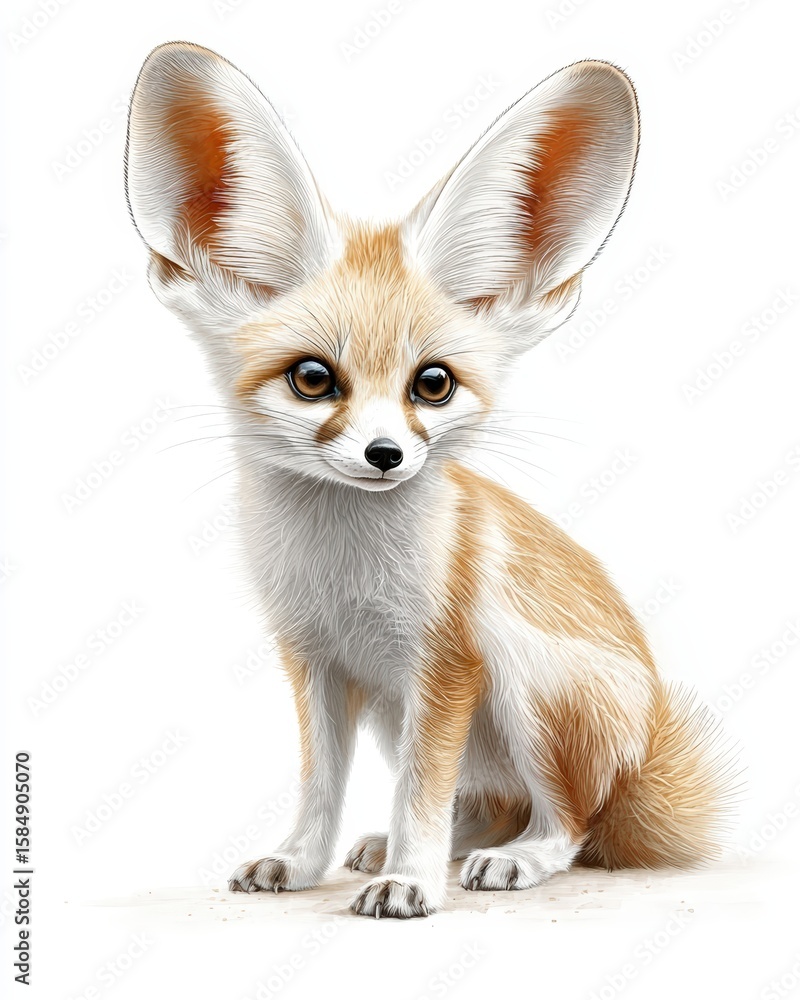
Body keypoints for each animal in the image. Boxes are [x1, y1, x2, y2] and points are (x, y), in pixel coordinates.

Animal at [125, 42, 734, 918]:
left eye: (433, 385)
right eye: (313, 379)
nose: (386, 456)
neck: (343, 569)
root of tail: (643, 764)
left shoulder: (445, 665)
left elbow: (422, 791)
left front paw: (411, 882)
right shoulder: (316, 659)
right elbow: (323, 787)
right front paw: (301, 862)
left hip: (523, 679)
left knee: (569, 823)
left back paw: (513, 858)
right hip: (395, 709)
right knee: (488, 805)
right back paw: (424, 847)